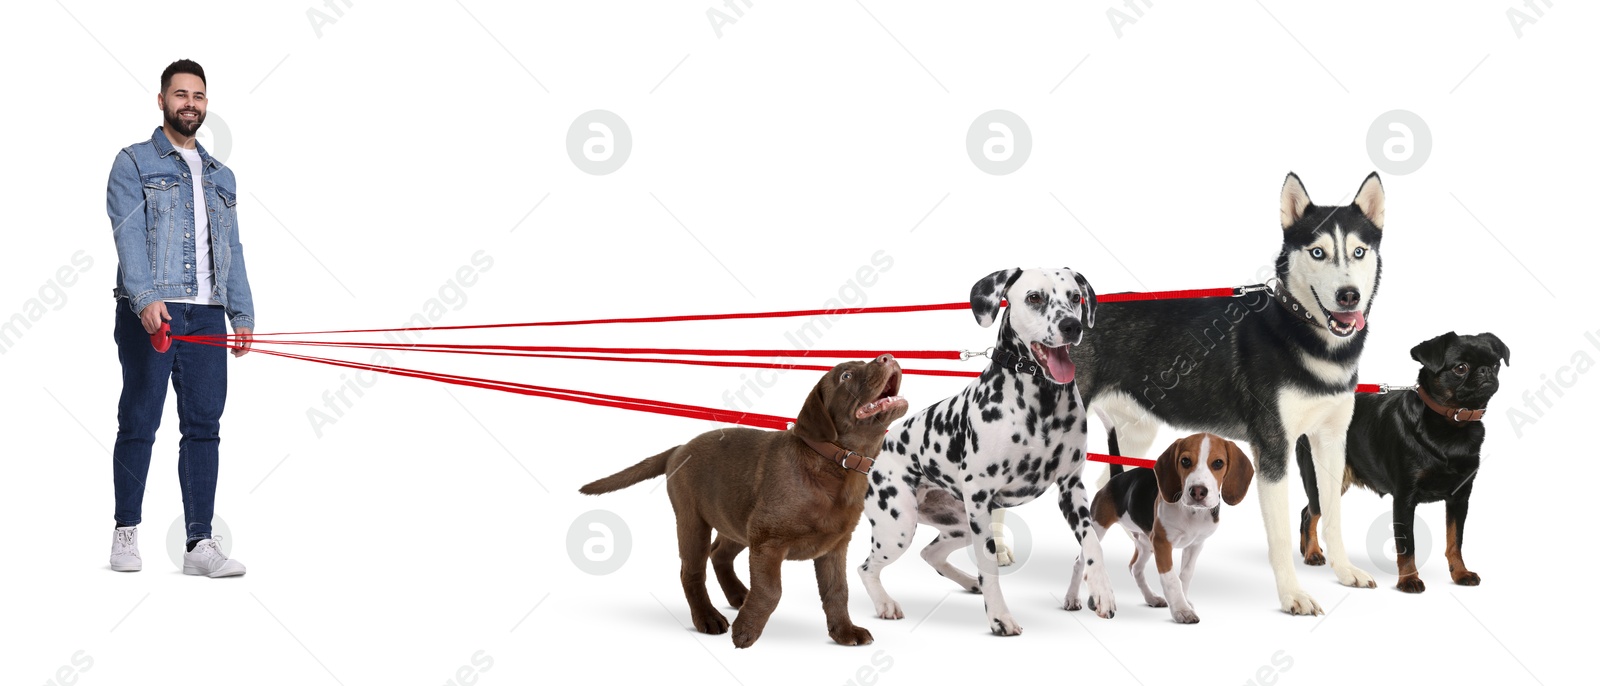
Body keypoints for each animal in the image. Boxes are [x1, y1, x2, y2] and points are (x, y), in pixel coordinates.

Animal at [864, 265, 1113, 630]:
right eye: (1034, 297)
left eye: (1075, 297)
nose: (1072, 326)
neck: (1041, 404)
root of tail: (879, 450)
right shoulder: (981, 498)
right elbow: (990, 565)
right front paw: (999, 617)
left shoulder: (1071, 488)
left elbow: (1092, 543)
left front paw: (1102, 590)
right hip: (900, 526)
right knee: (866, 568)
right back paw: (884, 603)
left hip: (960, 526)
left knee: (929, 553)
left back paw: (969, 582)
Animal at [1068, 431, 1254, 620]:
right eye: (1185, 461)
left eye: (1218, 463)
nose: (1198, 491)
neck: (1192, 513)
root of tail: (1117, 477)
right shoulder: (1162, 543)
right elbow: (1171, 578)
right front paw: (1181, 610)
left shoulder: (1195, 544)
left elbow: (1185, 575)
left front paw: (1184, 602)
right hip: (1097, 529)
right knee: (1079, 563)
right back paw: (1072, 599)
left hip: (1145, 542)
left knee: (1135, 568)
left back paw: (1151, 598)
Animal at [1292, 329, 1504, 588]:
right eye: (1461, 368)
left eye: (1495, 364)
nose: (1486, 371)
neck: (1452, 426)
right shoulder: (1404, 498)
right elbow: (1407, 545)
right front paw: (1409, 580)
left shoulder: (1460, 498)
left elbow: (1455, 541)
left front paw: (1460, 573)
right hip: (1320, 480)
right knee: (1310, 514)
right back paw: (1312, 552)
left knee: (1306, 511)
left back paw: (1308, 550)